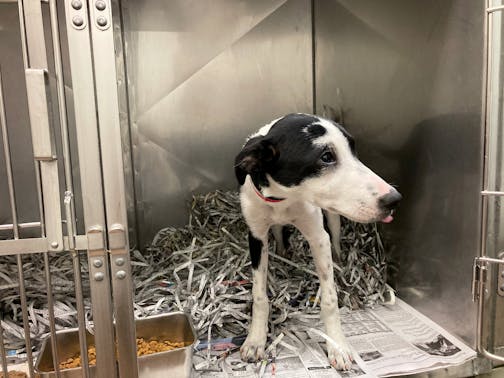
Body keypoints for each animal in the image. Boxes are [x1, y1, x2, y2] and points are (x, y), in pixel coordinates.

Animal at [234, 112, 404, 370]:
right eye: (326, 157)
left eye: (353, 149)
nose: (394, 199)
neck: (284, 198)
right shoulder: (256, 236)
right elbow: (259, 296)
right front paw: (255, 340)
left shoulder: (318, 237)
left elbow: (330, 299)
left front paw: (337, 346)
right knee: (279, 234)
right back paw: (283, 254)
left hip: (332, 218)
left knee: (335, 239)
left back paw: (340, 263)